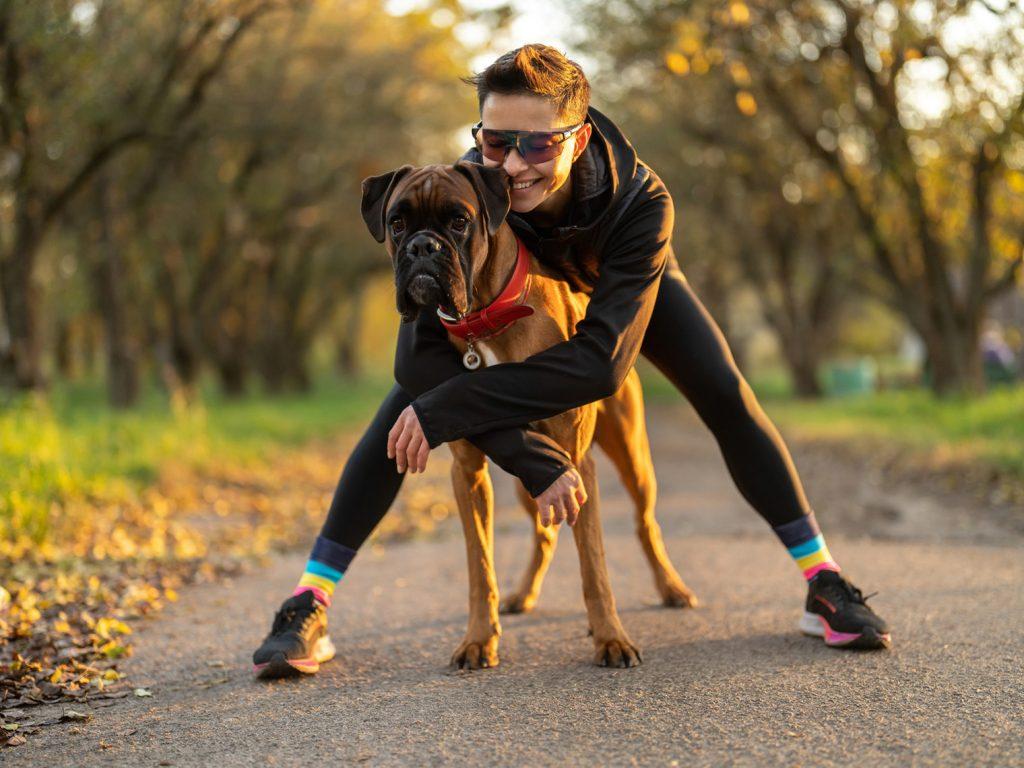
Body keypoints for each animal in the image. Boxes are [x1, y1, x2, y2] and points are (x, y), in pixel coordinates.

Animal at [360, 160, 696, 667]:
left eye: (458, 220)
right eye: (397, 223)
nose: (422, 246)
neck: (485, 319)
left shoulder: (576, 465)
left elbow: (594, 566)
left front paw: (611, 638)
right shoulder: (471, 472)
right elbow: (479, 566)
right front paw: (479, 638)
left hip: (632, 462)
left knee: (644, 524)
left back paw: (671, 587)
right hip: (529, 478)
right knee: (545, 532)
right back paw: (522, 594)